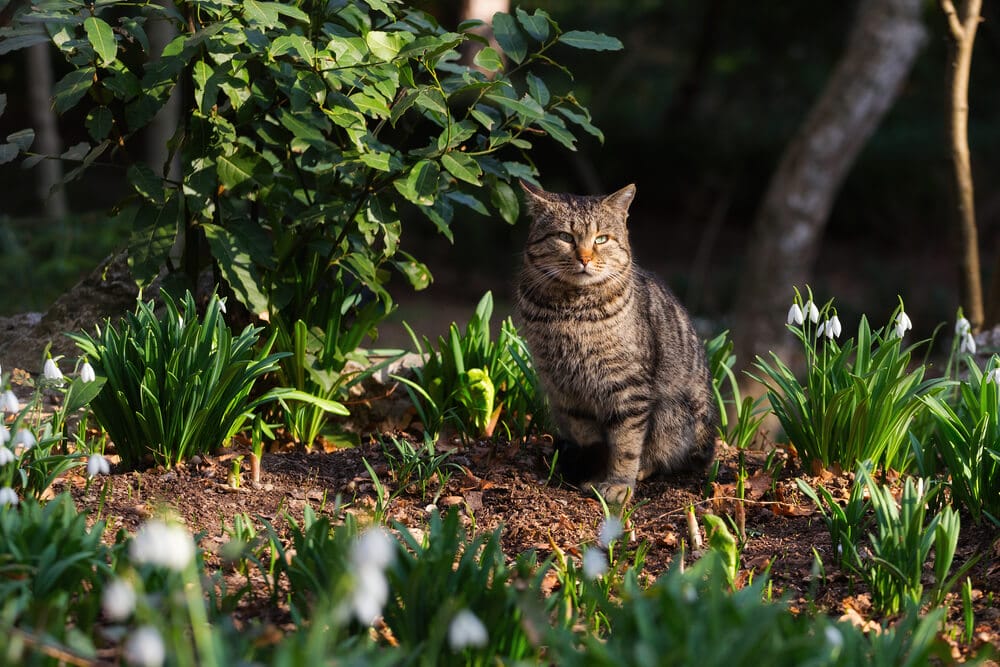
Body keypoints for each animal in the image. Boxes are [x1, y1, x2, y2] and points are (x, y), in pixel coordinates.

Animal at [516, 180, 720, 504]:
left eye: (602, 239)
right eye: (564, 237)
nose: (585, 258)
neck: (572, 312)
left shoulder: (628, 387)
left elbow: (626, 444)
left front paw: (618, 484)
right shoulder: (565, 390)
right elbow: (592, 439)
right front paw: (594, 473)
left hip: (673, 411)